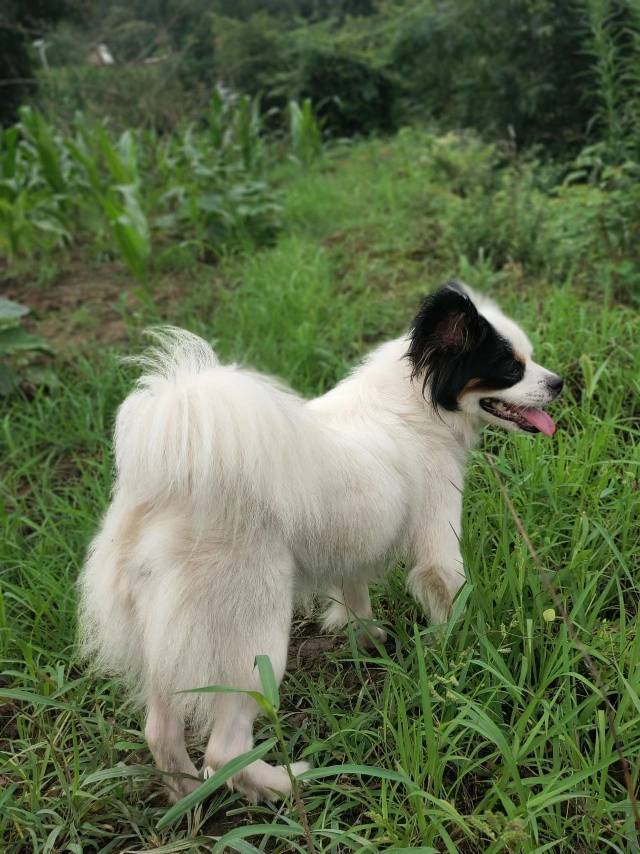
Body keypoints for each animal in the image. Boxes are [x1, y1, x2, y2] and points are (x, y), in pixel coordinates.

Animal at [77, 280, 564, 804]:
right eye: (511, 368)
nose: (558, 382)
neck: (416, 403)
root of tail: (164, 491)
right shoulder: (438, 542)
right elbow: (453, 602)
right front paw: (473, 656)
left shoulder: (351, 550)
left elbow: (354, 596)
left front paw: (367, 639)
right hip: (255, 642)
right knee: (225, 753)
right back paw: (286, 783)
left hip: (164, 641)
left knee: (160, 731)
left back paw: (189, 798)